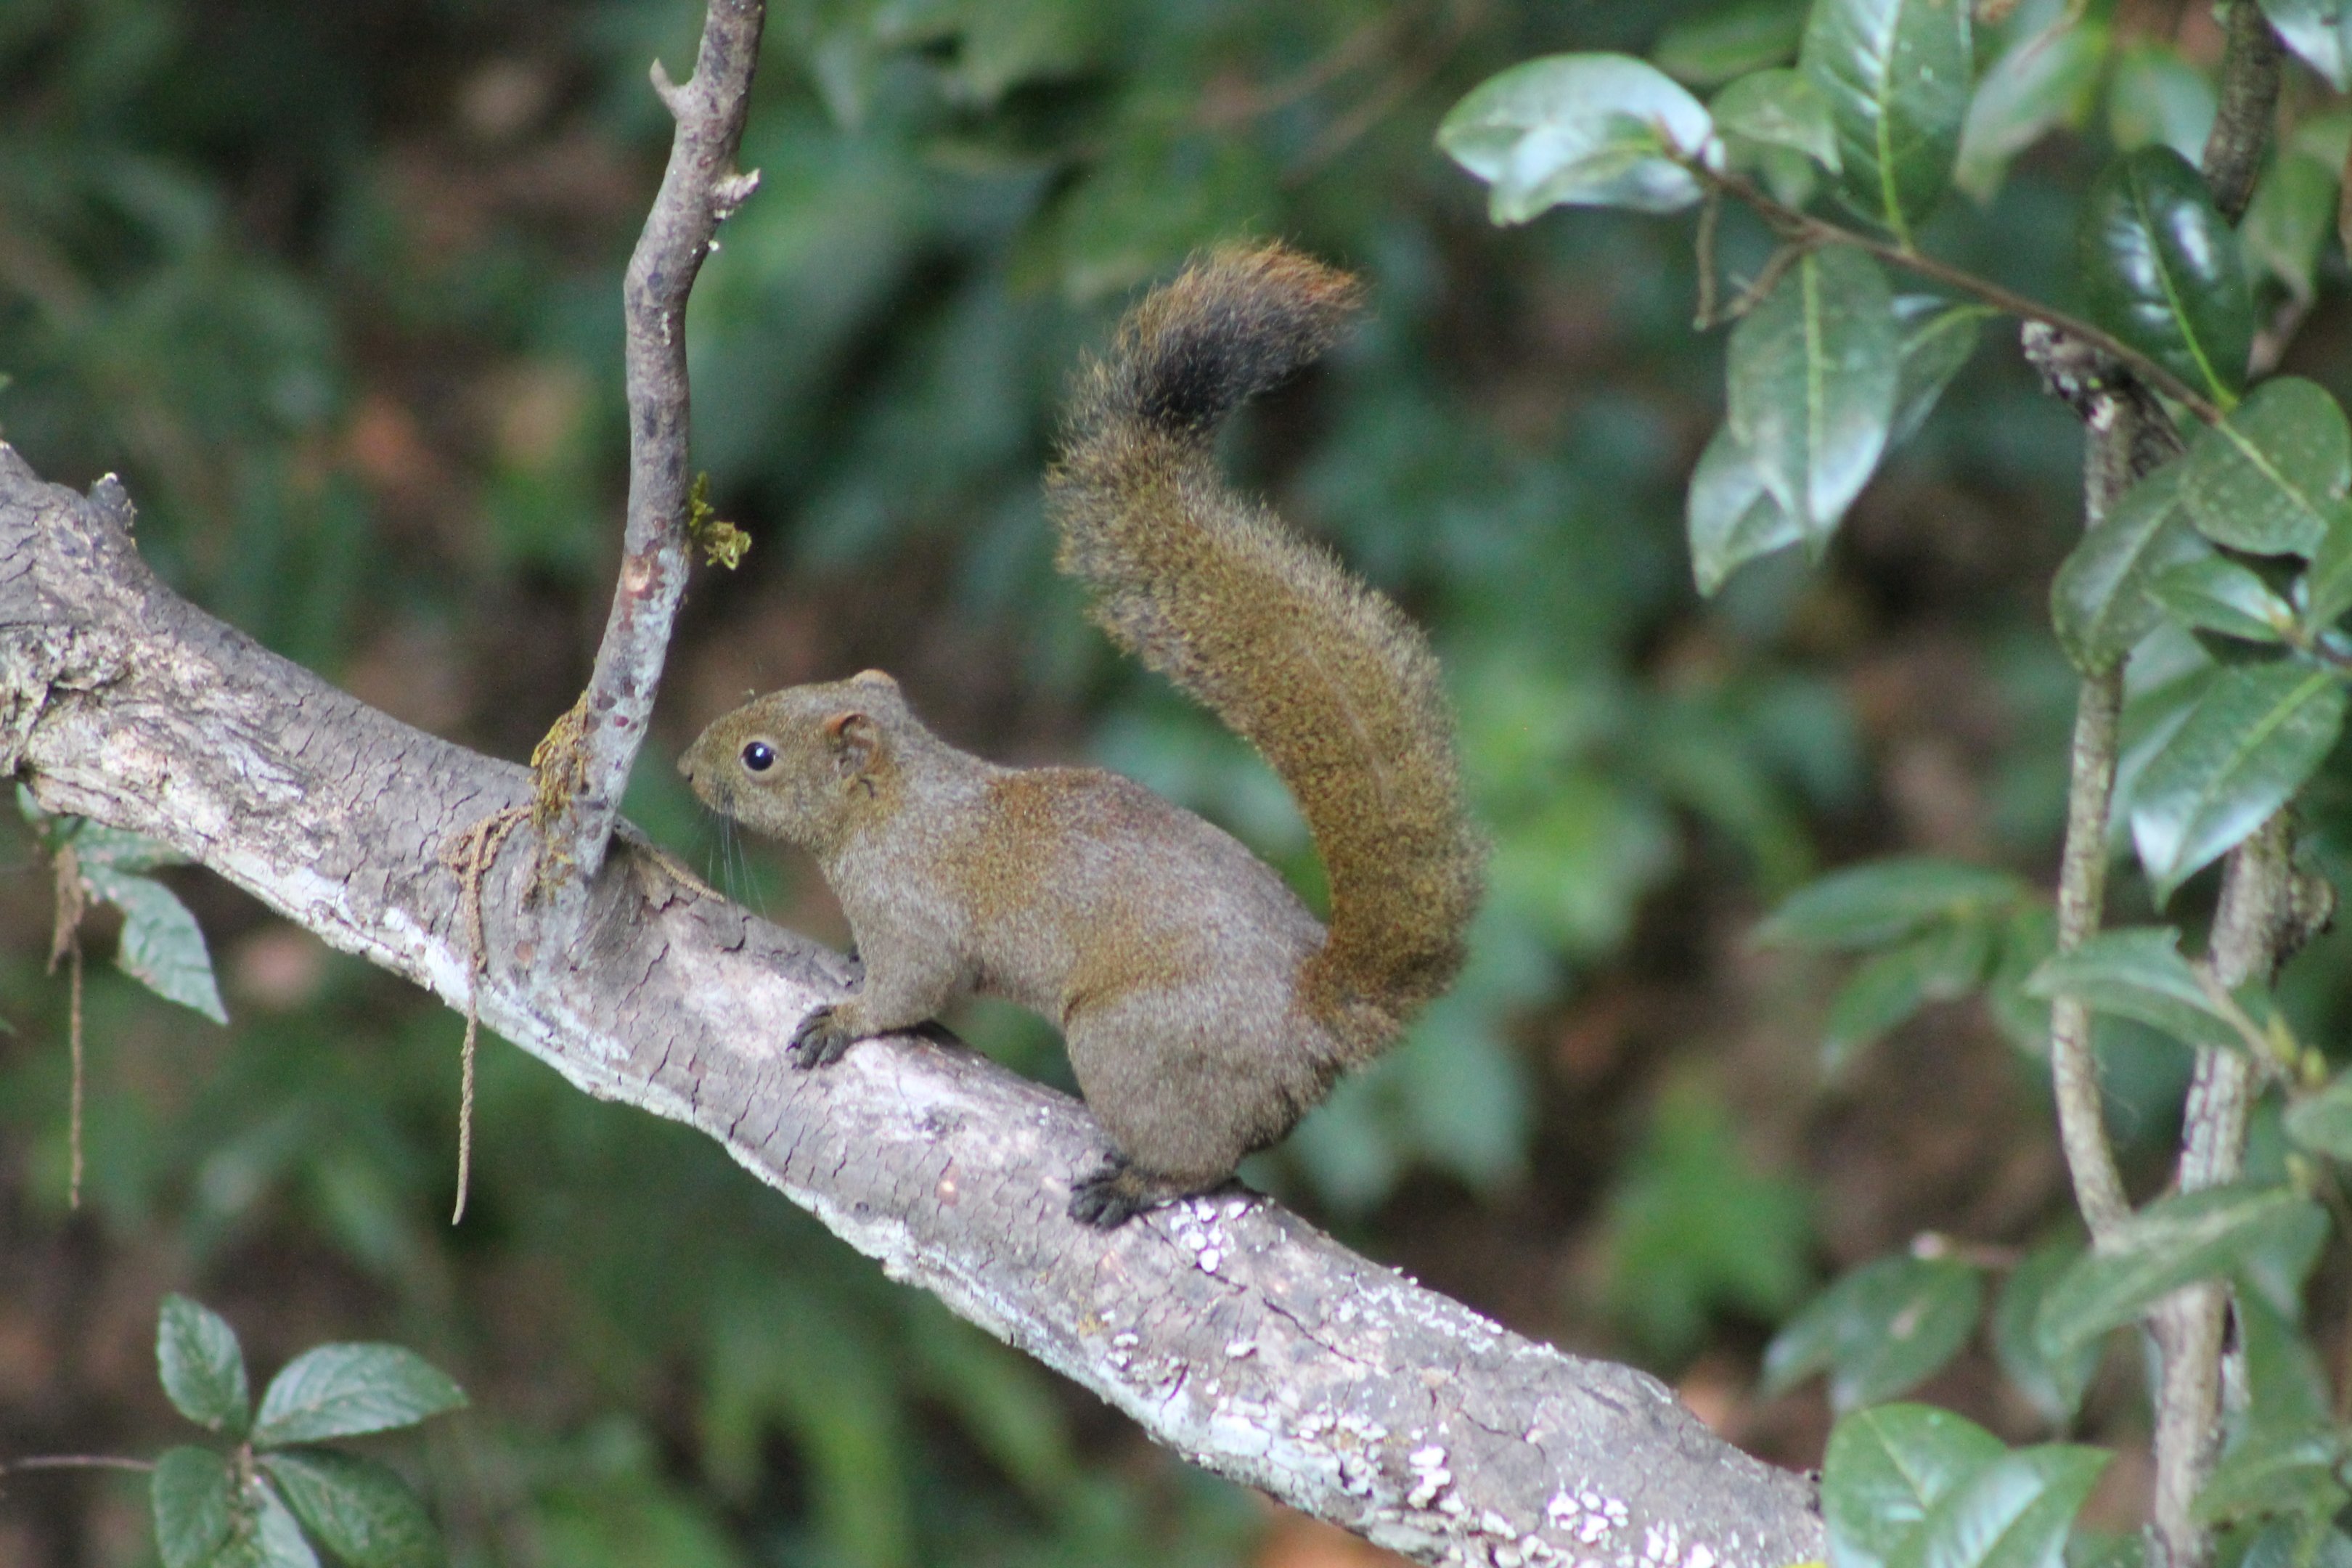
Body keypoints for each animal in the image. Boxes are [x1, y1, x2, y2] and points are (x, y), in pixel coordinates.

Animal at [678, 244, 1484, 1226]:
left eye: (758, 758)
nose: (685, 768)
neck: (895, 800)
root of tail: (1314, 1015)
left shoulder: (914, 910)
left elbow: (911, 989)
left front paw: (847, 1020)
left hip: (1128, 1043)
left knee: (1201, 1158)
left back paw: (1134, 1184)